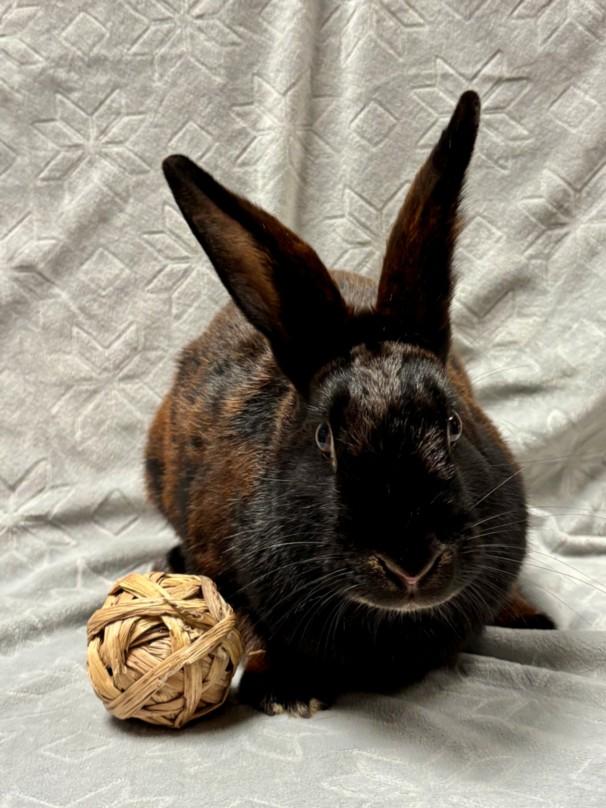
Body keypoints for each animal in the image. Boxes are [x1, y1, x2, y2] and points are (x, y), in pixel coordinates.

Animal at [145, 91, 554, 717]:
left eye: (454, 424)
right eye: (324, 439)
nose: (410, 564)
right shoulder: (225, 567)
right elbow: (248, 627)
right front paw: (287, 692)